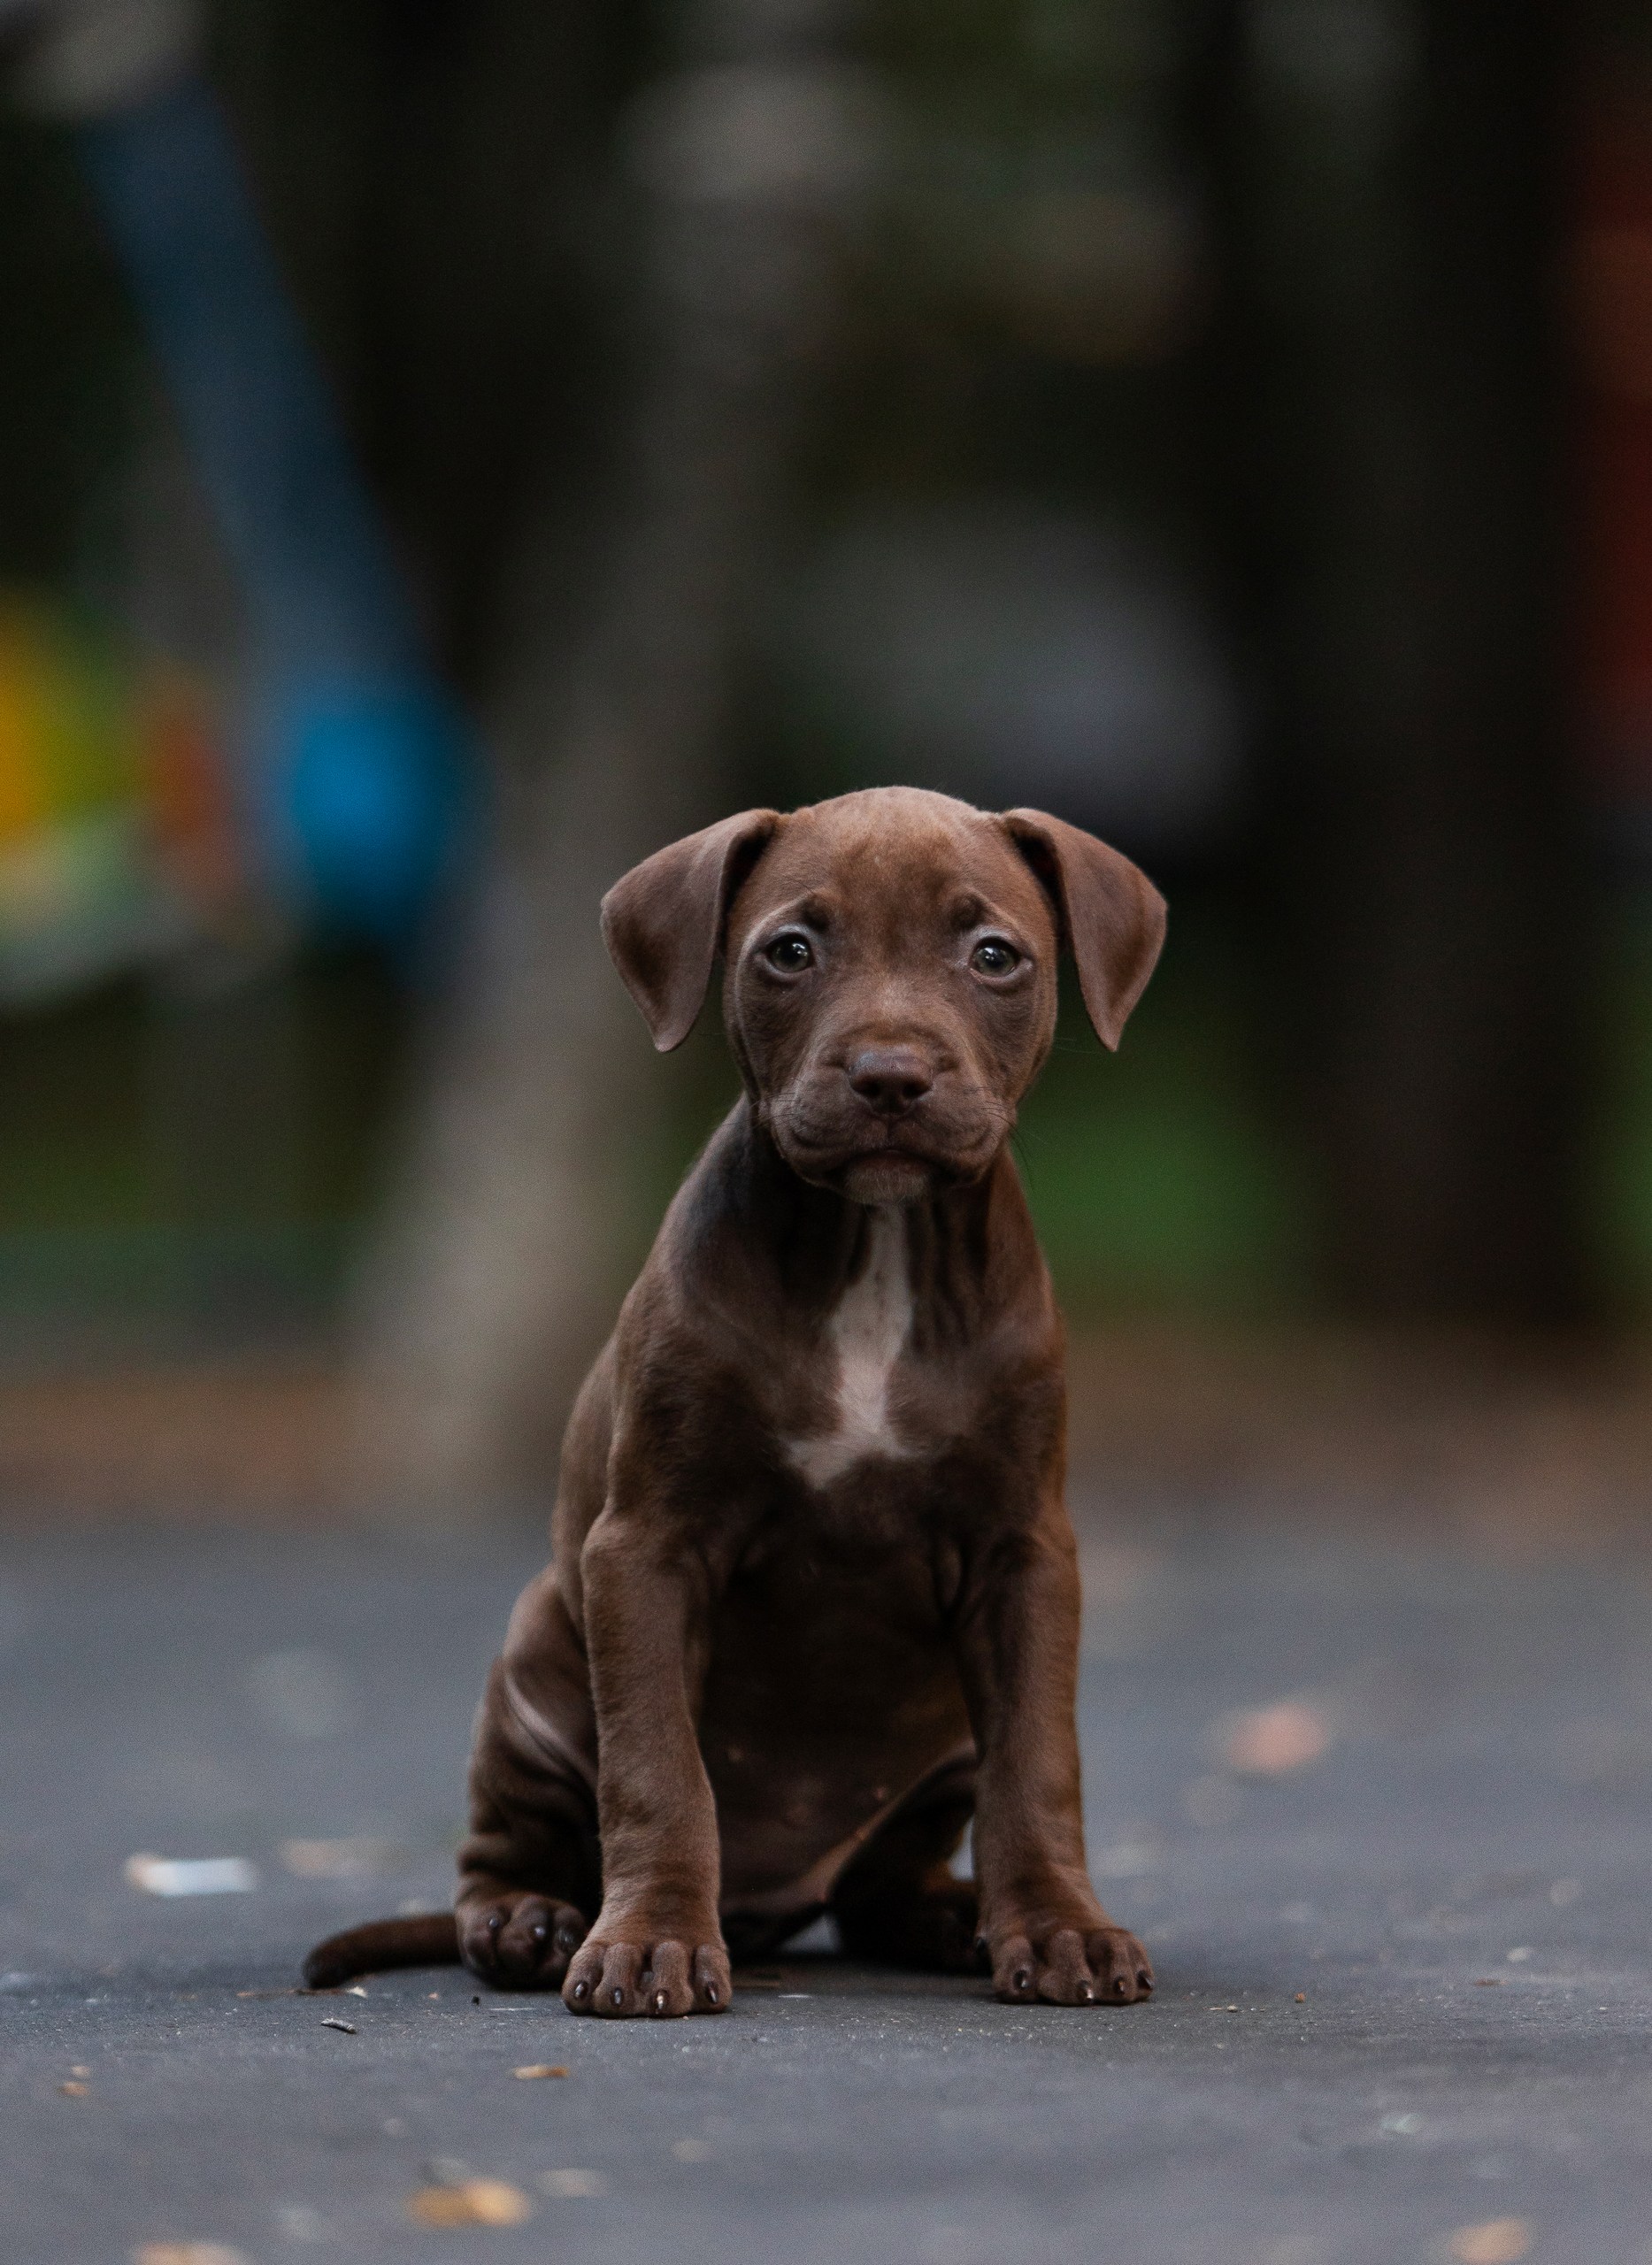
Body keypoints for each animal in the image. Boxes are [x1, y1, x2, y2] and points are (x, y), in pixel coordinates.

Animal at [305, 793, 1160, 2020]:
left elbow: (1039, 1761)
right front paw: (651, 1940)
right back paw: (529, 1922)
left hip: (937, 1742)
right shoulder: (645, 1548)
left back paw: (951, 1915)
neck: (874, 1248)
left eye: (995, 956)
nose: (890, 1075)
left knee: (887, 1878)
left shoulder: (1024, 1553)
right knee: (499, 1851)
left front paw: (1056, 1926)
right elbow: (657, 1764)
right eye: (790, 951)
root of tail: (775, 1898)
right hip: (533, 1669)